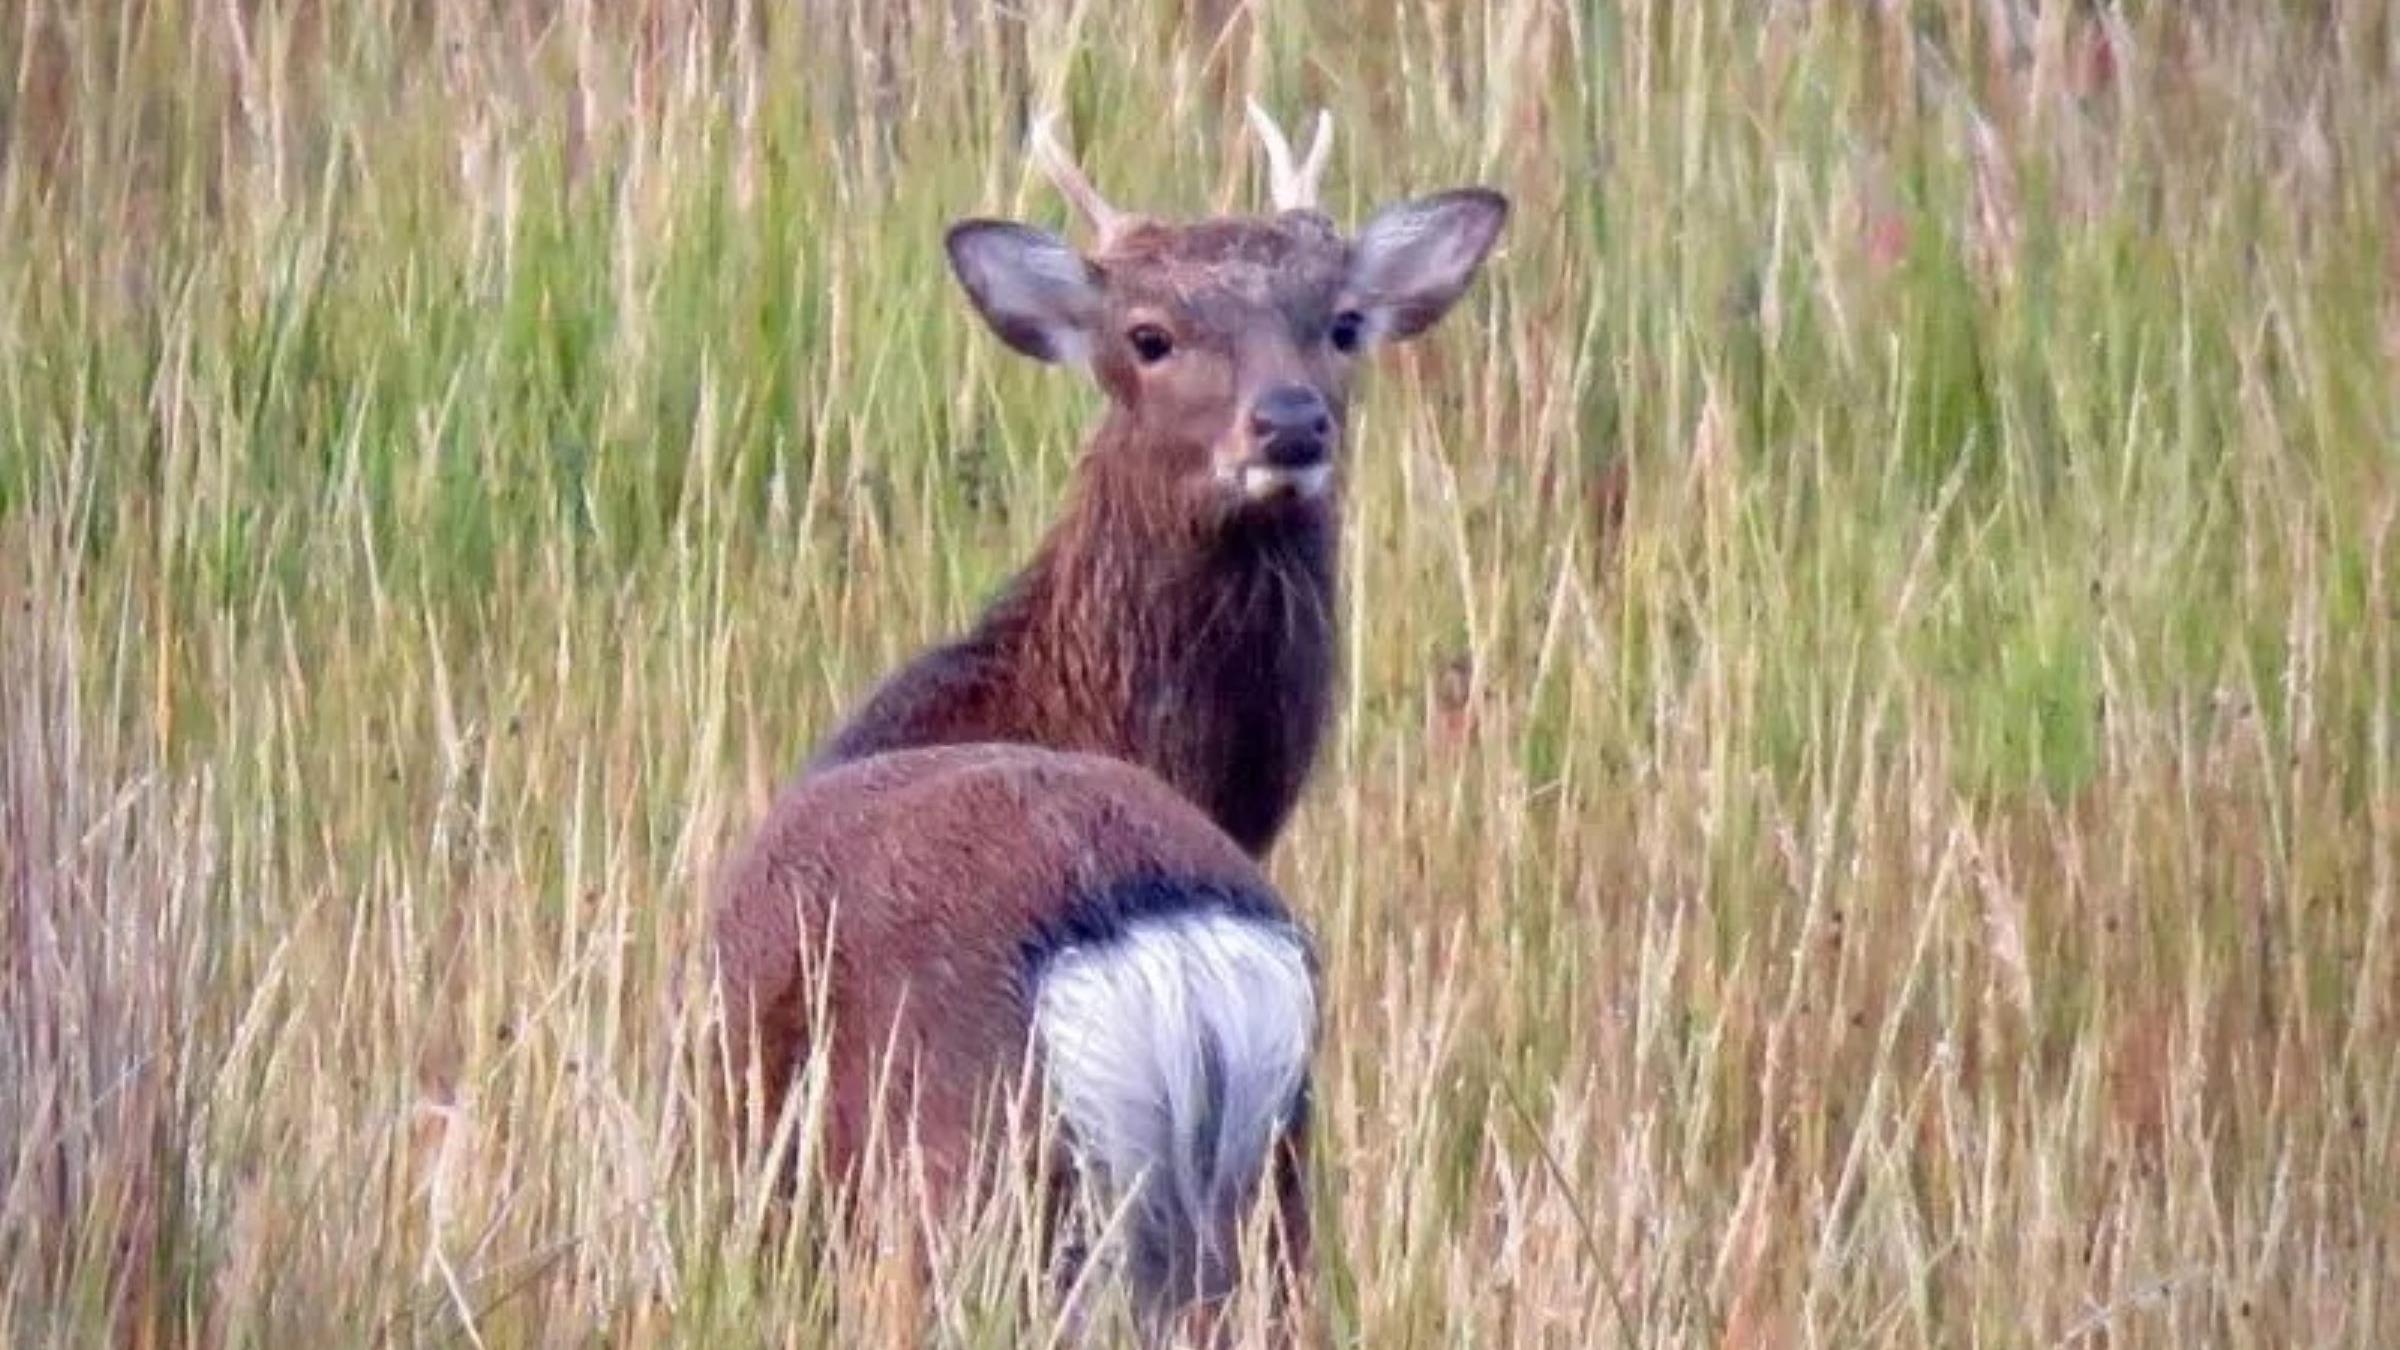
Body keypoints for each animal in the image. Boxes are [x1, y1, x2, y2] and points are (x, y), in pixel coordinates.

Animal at [710, 107, 1508, 1337]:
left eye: (1339, 322)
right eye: (1148, 334)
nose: (1289, 425)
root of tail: (1177, 981)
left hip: (963, 1182)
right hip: (1275, 1192)